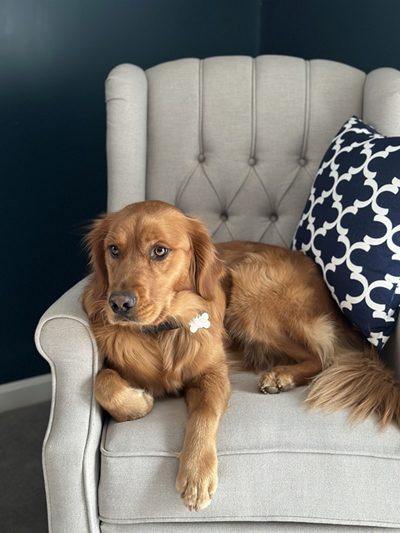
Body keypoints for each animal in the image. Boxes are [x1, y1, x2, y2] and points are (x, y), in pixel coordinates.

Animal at [83, 200, 400, 512]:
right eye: (114, 250)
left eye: (159, 251)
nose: (118, 303)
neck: (161, 333)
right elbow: (103, 382)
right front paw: (138, 402)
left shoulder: (213, 373)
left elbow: (204, 413)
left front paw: (196, 474)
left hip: (250, 292)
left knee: (322, 356)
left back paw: (281, 376)